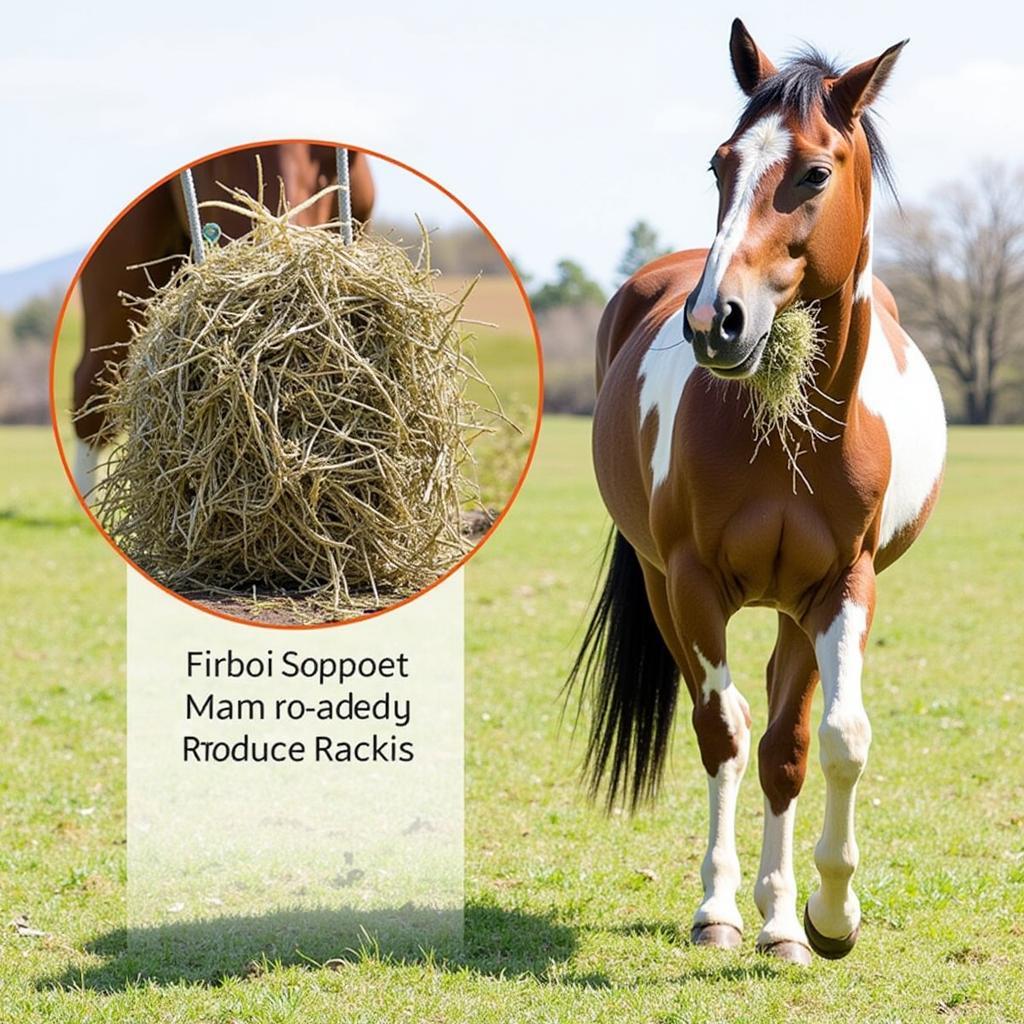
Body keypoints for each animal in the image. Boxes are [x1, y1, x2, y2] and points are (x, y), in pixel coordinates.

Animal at [569, 22, 942, 966]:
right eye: (719, 164)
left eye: (812, 172)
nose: (715, 321)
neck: (786, 440)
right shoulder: (694, 585)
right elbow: (724, 734)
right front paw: (719, 912)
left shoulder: (841, 587)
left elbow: (827, 740)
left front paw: (825, 917)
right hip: (664, 587)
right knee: (741, 732)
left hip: (793, 613)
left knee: (784, 738)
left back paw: (780, 918)